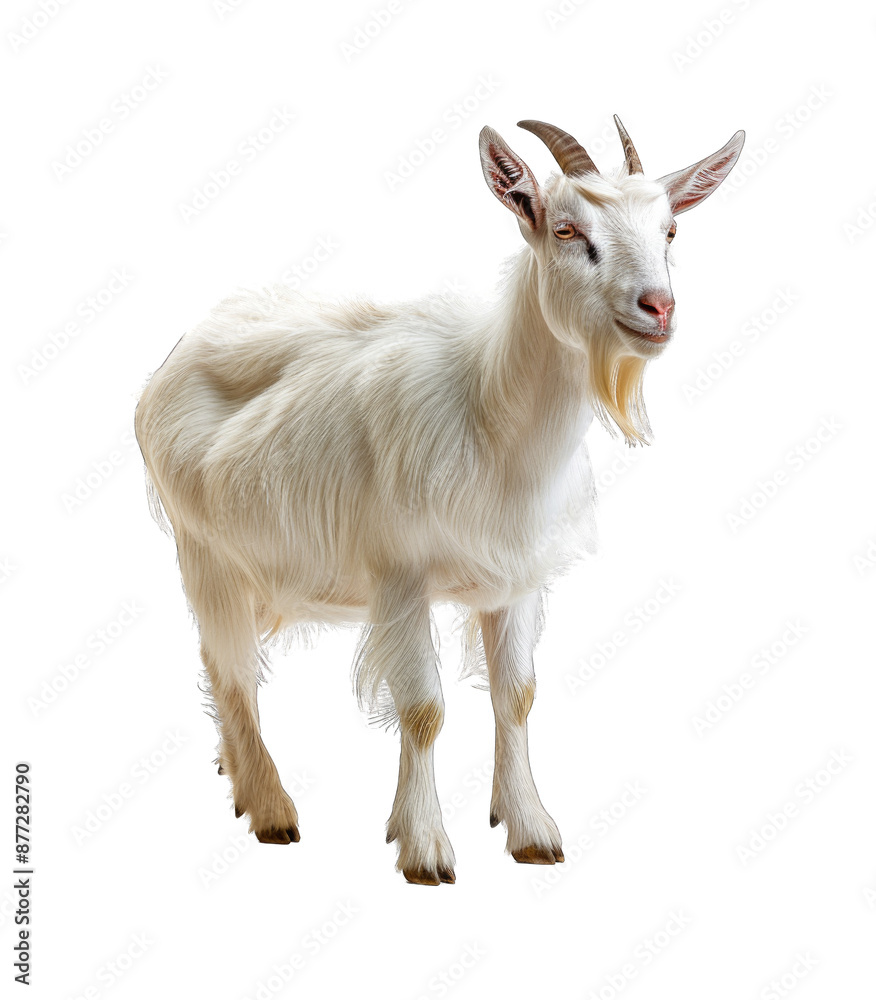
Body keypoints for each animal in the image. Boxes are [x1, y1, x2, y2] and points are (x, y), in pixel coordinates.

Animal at [134, 116, 744, 885]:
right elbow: (423, 708)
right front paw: (424, 847)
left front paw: (530, 829)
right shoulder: (400, 574)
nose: (657, 308)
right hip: (202, 548)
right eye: (568, 230)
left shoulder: (516, 582)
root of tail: (184, 348)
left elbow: (517, 697)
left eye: (670, 229)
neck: (489, 415)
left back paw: (239, 777)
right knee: (232, 667)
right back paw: (271, 807)